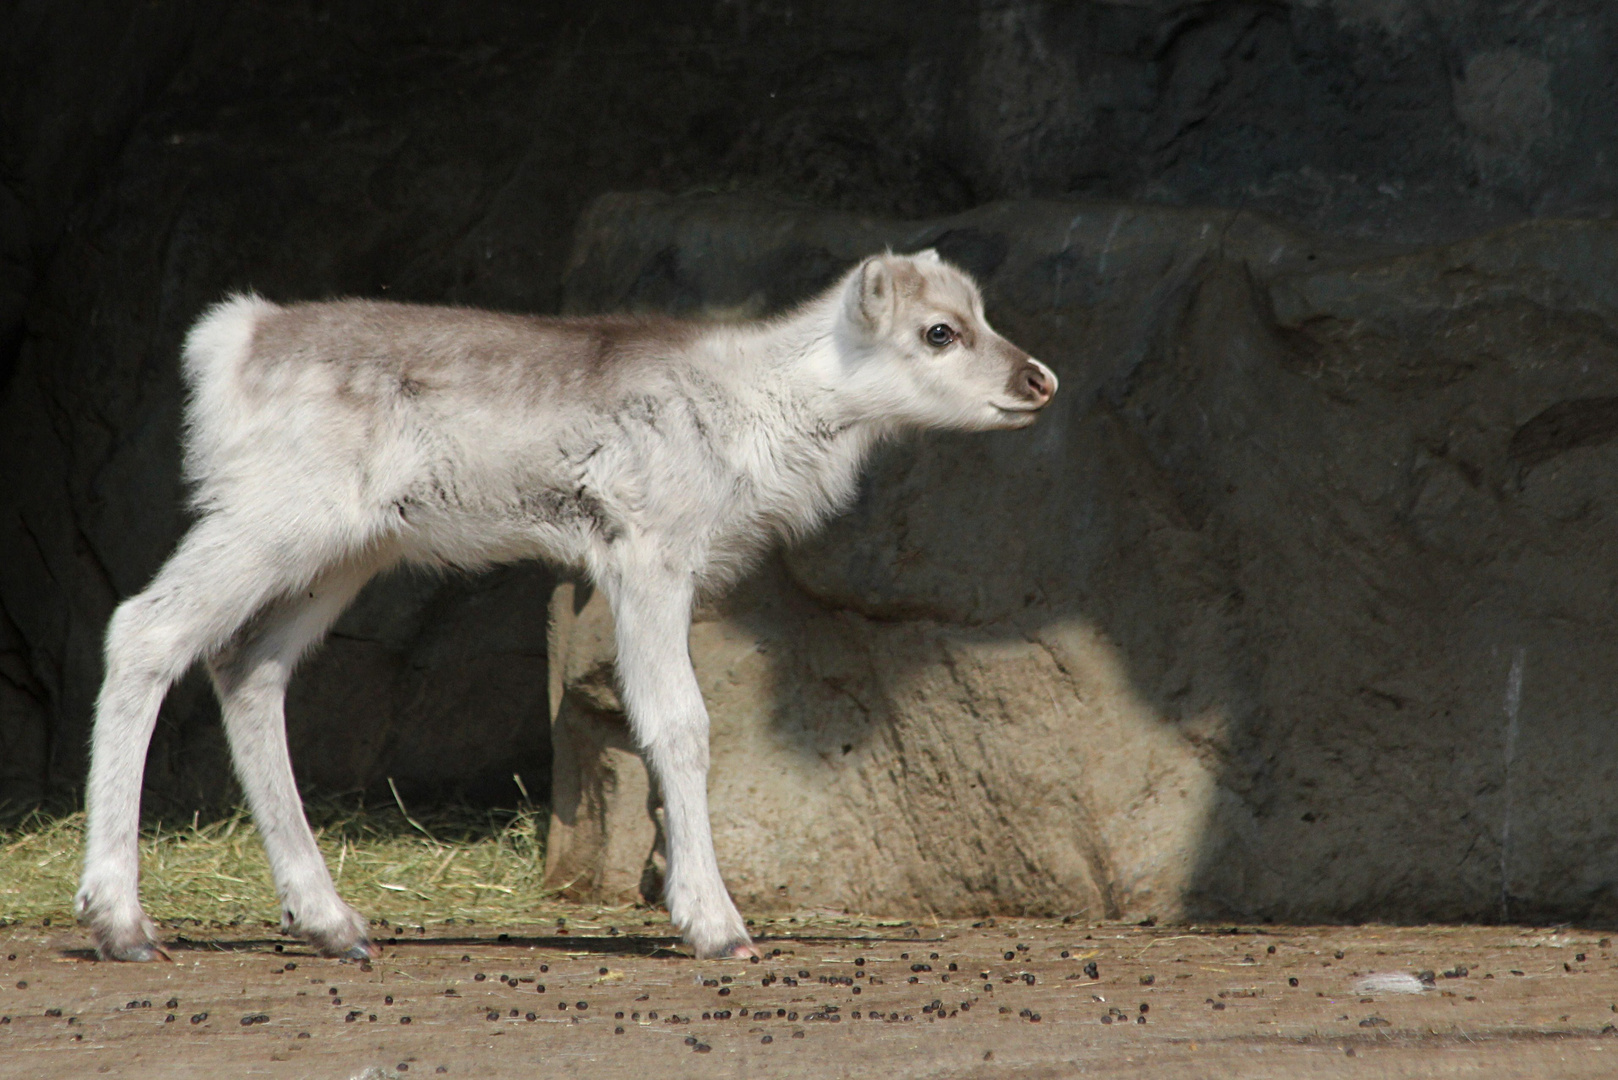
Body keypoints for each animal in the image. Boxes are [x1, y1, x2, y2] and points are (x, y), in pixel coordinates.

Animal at [76, 250, 1054, 965]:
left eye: (984, 315)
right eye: (939, 331)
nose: (1038, 380)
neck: (759, 415)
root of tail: (231, 340)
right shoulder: (648, 550)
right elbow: (679, 719)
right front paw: (716, 926)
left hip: (345, 552)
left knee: (246, 666)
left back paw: (333, 923)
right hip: (274, 515)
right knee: (144, 627)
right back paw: (121, 922)